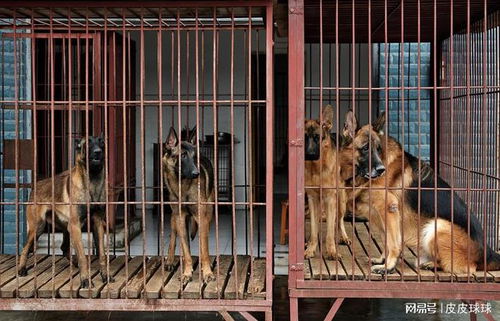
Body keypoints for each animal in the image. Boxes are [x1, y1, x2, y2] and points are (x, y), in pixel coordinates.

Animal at [18, 136, 113, 288]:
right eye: (88, 143)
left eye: (101, 143)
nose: (98, 152)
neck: (93, 180)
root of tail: (36, 185)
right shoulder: (75, 226)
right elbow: (83, 256)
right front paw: (85, 279)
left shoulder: (97, 224)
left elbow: (102, 255)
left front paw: (105, 276)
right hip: (38, 227)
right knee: (25, 247)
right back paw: (21, 269)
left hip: (66, 227)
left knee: (64, 248)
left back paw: (74, 263)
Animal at [161, 126, 214, 284]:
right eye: (183, 156)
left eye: (194, 156)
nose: (196, 173)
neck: (183, 185)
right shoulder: (179, 217)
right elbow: (185, 249)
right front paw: (187, 272)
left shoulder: (202, 218)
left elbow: (204, 250)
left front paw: (207, 272)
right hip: (175, 218)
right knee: (174, 236)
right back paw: (170, 260)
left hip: (208, 214)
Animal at [302, 105, 350, 260]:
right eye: (305, 138)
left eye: (318, 138)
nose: (310, 155)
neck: (316, 169)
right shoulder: (312, 199)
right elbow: (313, 230)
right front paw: (310, 249)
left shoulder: (330, 200)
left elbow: (329, 232)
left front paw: (332, 251)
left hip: (340, 202)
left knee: (339, 221)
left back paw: (343, 237)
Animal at [340, 110, 500, 272]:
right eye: (365, 148)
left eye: (378, 149)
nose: (381, 170)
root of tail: (488, 253)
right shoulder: (379, 215)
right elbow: (386, 239)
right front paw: (382, 260)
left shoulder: (389, 209)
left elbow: (393, 242)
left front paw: (388, 266)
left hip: (436, 226)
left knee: (467, 267)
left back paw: (432, 264)